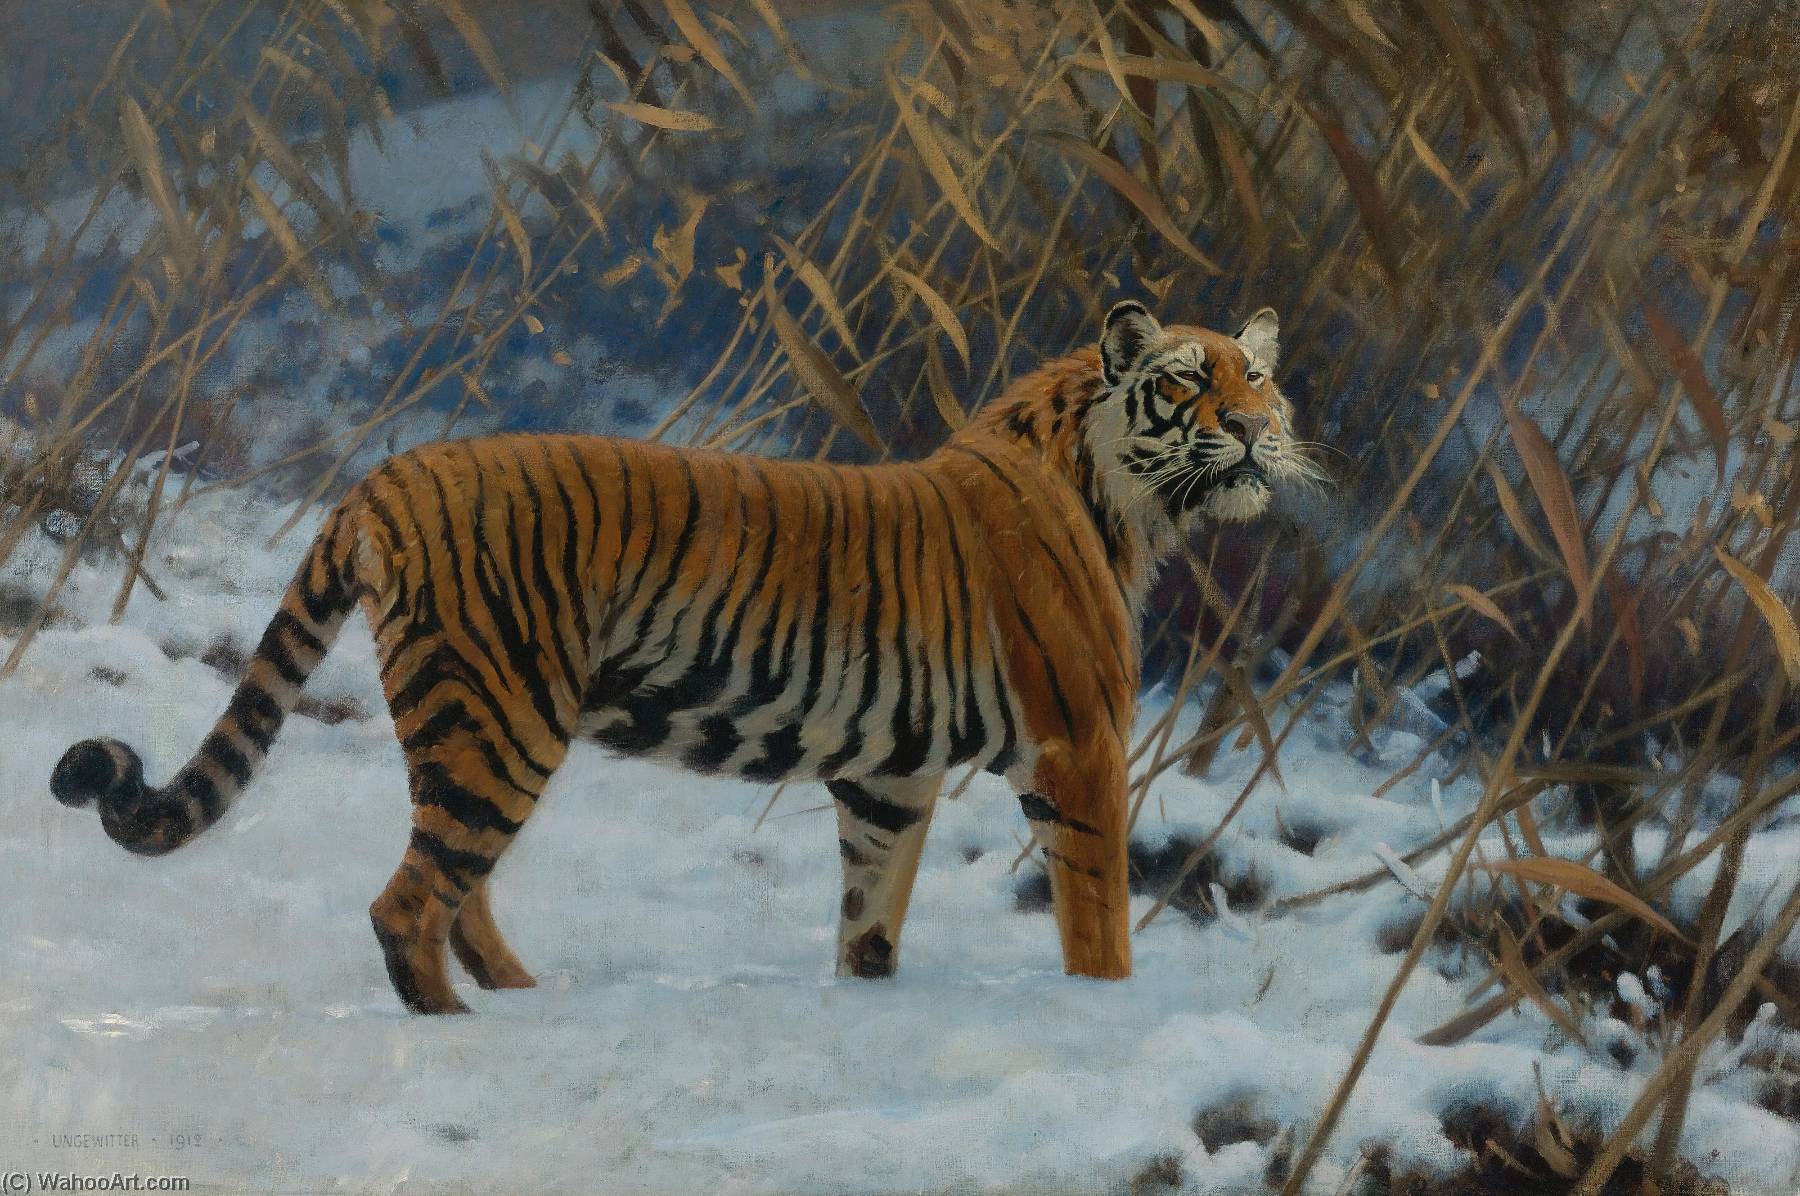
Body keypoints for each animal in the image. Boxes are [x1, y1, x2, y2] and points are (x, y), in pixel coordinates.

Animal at [49, 299, 1317, 1014]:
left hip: (466, 722)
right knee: (409, 900)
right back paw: (462, 1027)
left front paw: (868, 1002)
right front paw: (1106, 1012)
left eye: (1260, 376)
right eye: (1192, 379)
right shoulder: (1079, 742)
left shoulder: (889, 776)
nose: (1259, 429)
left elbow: (870, 910)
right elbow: (1098, 917)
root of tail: (385, 474)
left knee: (455, 885)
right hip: (503, 715)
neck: (1131, 502)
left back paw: (523, 998)